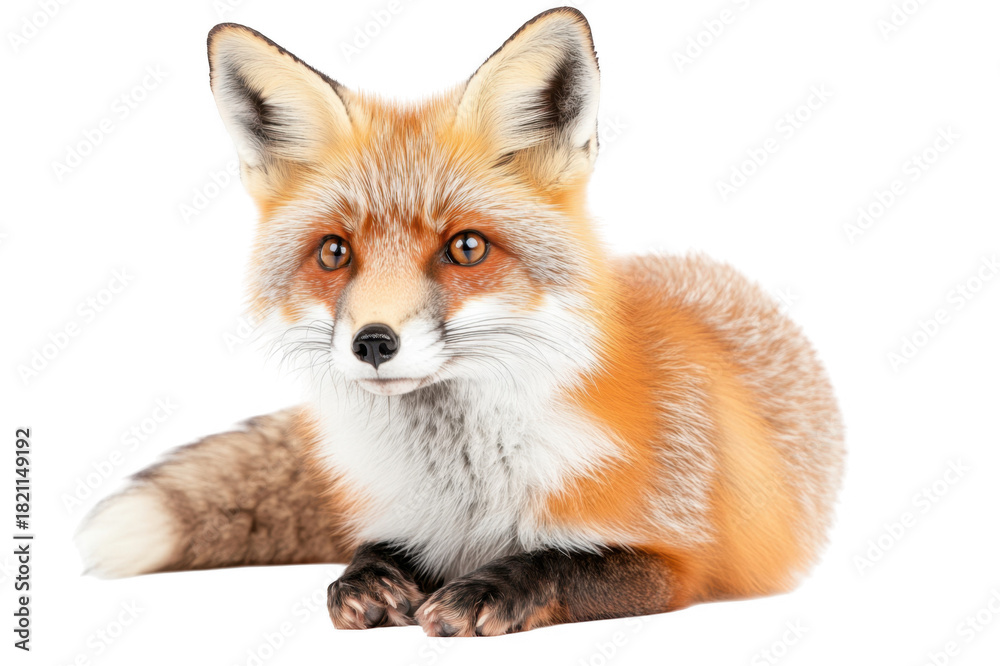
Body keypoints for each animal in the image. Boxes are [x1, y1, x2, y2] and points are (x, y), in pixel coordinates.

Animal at [76, 7, 845, 637]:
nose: (373, 342)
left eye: (466, 247)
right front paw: (367, 579)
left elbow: (559, 564)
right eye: (334, 252)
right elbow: (370, 552)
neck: (466, 493)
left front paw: (487, 590)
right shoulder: (400, 518)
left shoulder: (676, 558)